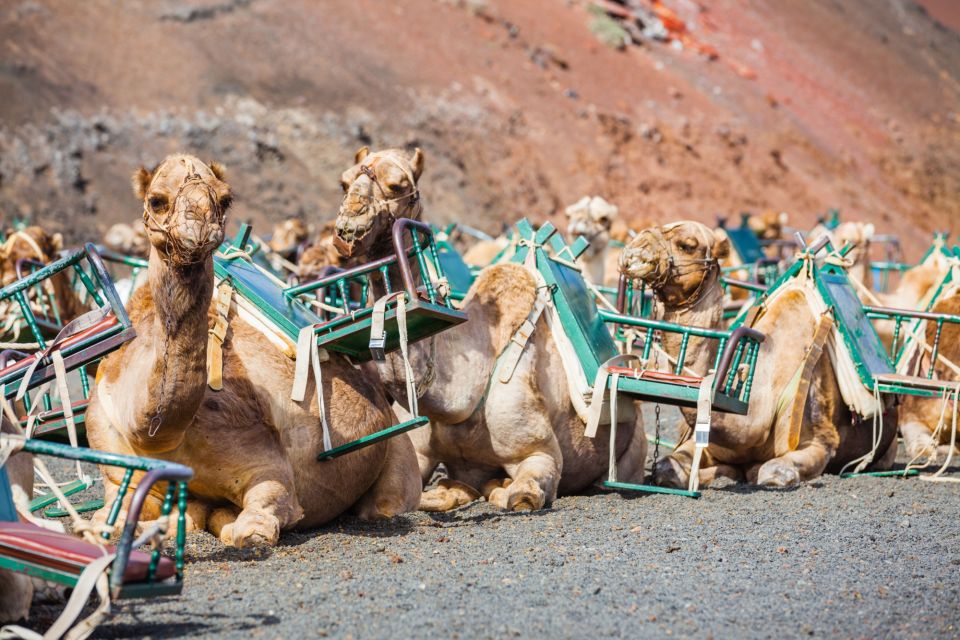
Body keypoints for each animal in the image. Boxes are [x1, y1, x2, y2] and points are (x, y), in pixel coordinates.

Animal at [86, 152, 420, 548]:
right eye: (156, 200)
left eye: (225, 198)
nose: (199, 230)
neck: (153, 433)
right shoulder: (115, 464)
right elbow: (106, 519)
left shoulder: (262, 458)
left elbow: (260, 520)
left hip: (398, 449)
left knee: (387, 502)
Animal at [332, 148, 644, 512]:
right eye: (345, 180)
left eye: (397, 185)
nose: (347, 230)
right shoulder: (420, 452)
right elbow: (390, 503)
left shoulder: (540, 453)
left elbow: (521, 495)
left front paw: (497, 487)